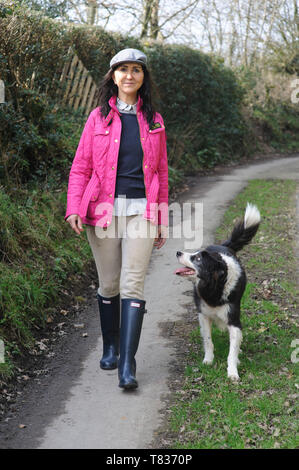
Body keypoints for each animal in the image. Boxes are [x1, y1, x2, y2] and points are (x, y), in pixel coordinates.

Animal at [176, 204, 260, 380]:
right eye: (194, 255)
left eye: (197, 259)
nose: (178, 252)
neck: (215, 287)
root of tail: (224, 246)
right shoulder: (203, 315)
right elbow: (208, 340)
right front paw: (208, 360)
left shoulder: (234, 319)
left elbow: (232, 350)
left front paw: (233, 371)